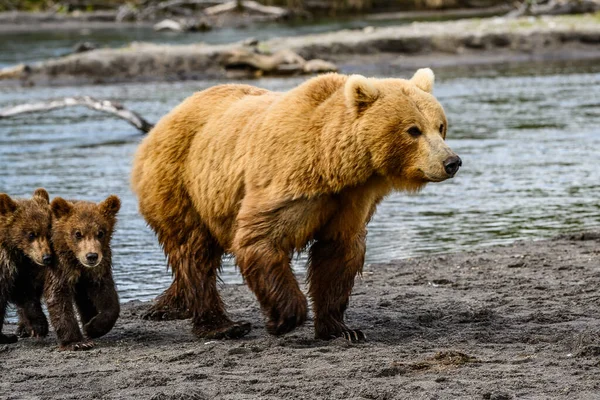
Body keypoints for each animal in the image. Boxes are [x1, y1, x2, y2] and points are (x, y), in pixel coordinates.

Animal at [132, 69, 460, 340]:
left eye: (440, 126)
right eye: (413, 130)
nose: (451, 161)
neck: (336, 165)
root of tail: (162, 122)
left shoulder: (351, 201)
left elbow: (339, 253)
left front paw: (342, 328)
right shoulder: (290, 182)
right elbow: (262, 238)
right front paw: (283, 319)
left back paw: (167, 306)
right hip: (181, 183)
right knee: (194, 250)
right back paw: (221, 326)